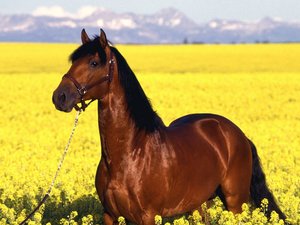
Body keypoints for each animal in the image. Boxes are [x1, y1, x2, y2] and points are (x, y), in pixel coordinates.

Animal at [52, 29, 288, 224]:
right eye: (73, 61)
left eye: (94, 63)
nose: (59, 97)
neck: (129, 153)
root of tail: (238, 134)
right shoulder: (110, 215)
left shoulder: (147, 217)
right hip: (199, 204)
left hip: (235, 202)